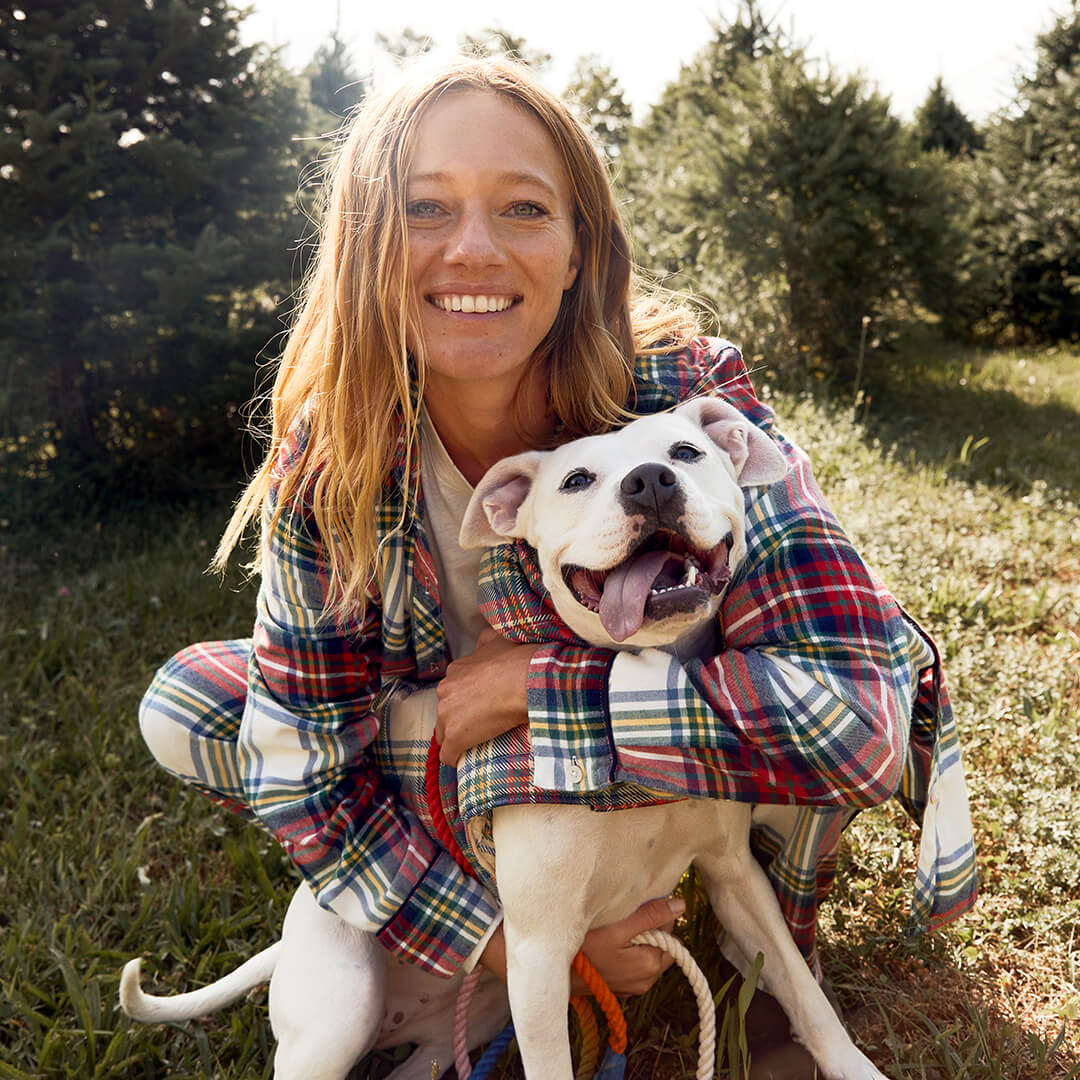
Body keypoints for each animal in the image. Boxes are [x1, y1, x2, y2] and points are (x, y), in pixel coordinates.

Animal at [120, 399, 885, 1080]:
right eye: (576, 480)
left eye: (686, 453)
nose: (650, 481)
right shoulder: (543, 954)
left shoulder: (735, 878)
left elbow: (806, 995)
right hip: (345, 1009)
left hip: (472, 1021)